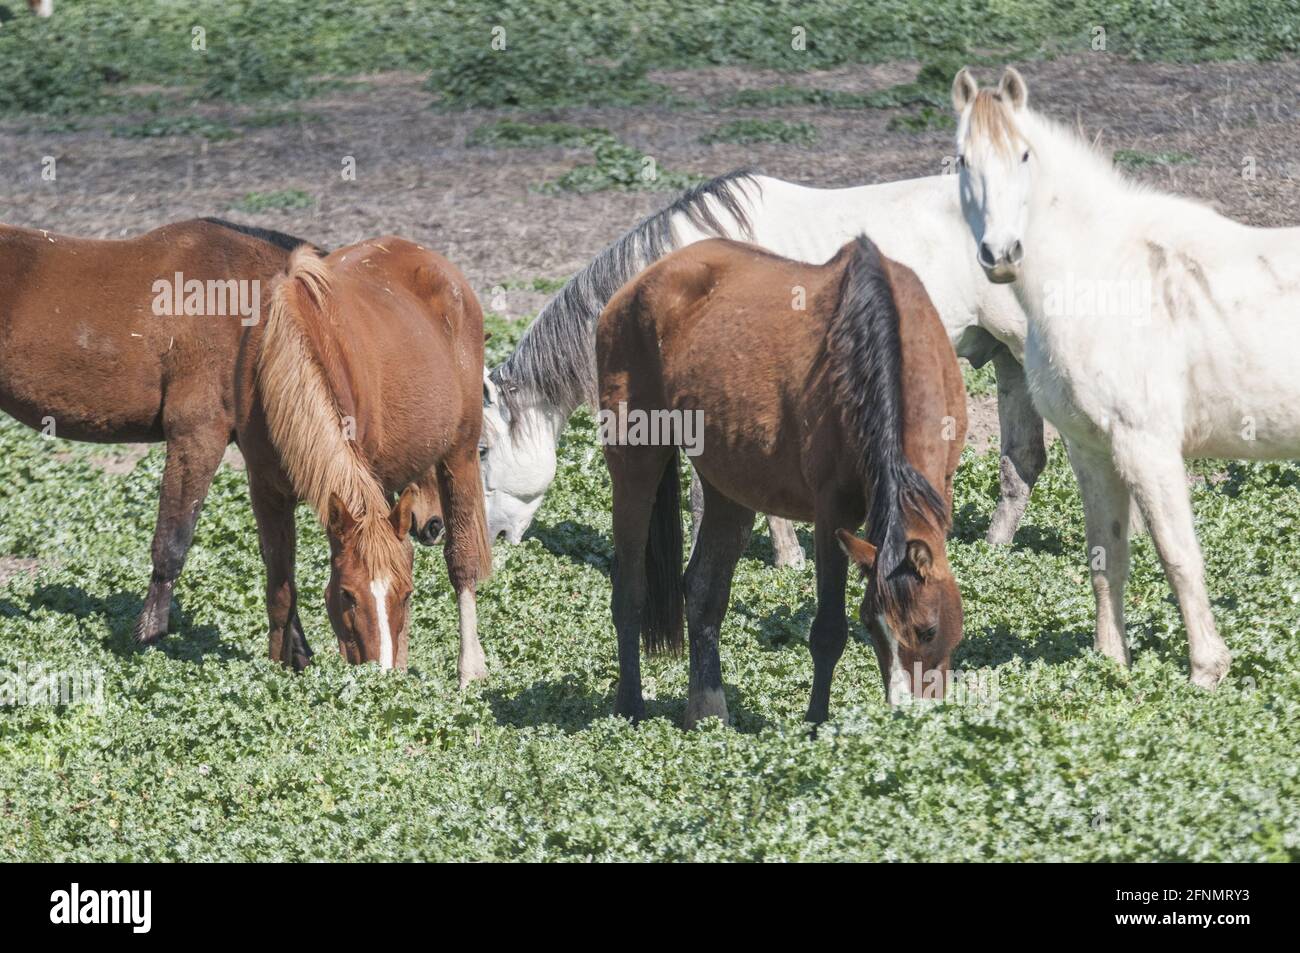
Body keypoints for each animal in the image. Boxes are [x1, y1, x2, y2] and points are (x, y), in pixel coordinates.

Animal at [246, 240, 492, 683]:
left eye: (407, 594)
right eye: (346, 594)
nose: (380, 676)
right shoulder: (266, 491)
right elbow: (280, 591)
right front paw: (277, 674)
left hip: (460, 454)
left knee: (461, 561)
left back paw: (469, 669)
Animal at [598, 235, 966, 726]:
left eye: (927, 630)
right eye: (872, 625)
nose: (906, 713)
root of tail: (637, 286)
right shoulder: (832, 511)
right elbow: (828, 629)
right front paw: (815, 724)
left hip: (728, 485)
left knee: (703, 591)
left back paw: (707, 709)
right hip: (634, 463)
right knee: (631, 591)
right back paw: (630, 707)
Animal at [950, 66, 1300, 688]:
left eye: (1024, 155)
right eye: (961, 159)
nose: (1002, 253)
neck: (1103, 276)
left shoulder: (1147, 447)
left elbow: (1177, 553)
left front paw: (1206, 670)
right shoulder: (1091, 449)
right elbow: (1106, 556)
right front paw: (1112, 662)